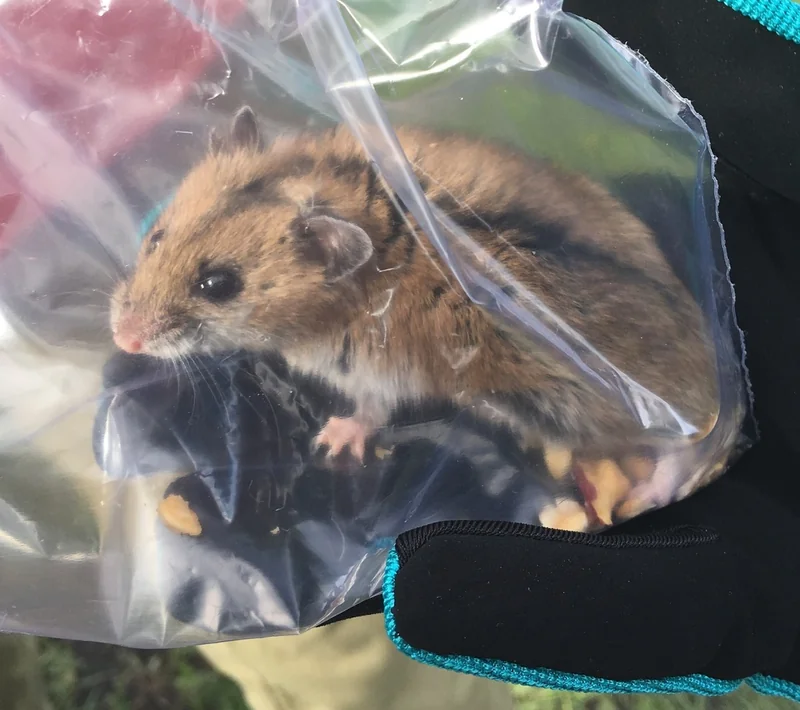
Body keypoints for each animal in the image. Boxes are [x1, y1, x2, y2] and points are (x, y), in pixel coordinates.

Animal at [111, 107, 736, 530]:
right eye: (157, 236)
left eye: (218, 285)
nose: (122, 338)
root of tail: (727, 394)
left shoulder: (378, 371)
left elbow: (369, 413)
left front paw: (330, 440)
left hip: (592, 410)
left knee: (684, 453)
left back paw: (652, 490)